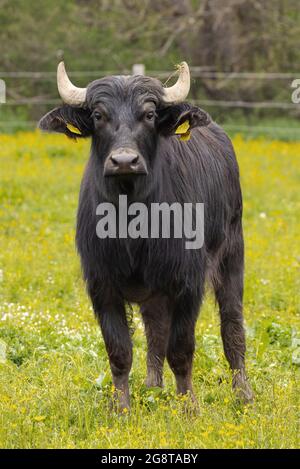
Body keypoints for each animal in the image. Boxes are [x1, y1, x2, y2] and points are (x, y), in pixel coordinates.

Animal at [38, 62, 253, 410]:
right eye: (98, 115)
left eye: (149, 114)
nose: (124, 161)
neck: (133, 225)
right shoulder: (102, 285)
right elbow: (120, 351)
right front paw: (121, 408)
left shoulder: (187, 284)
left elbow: (180, 350)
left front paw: (188, 407)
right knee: (155, 329)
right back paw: (153, 385)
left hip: (233, 252)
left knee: (231, 323)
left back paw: (243, 392)